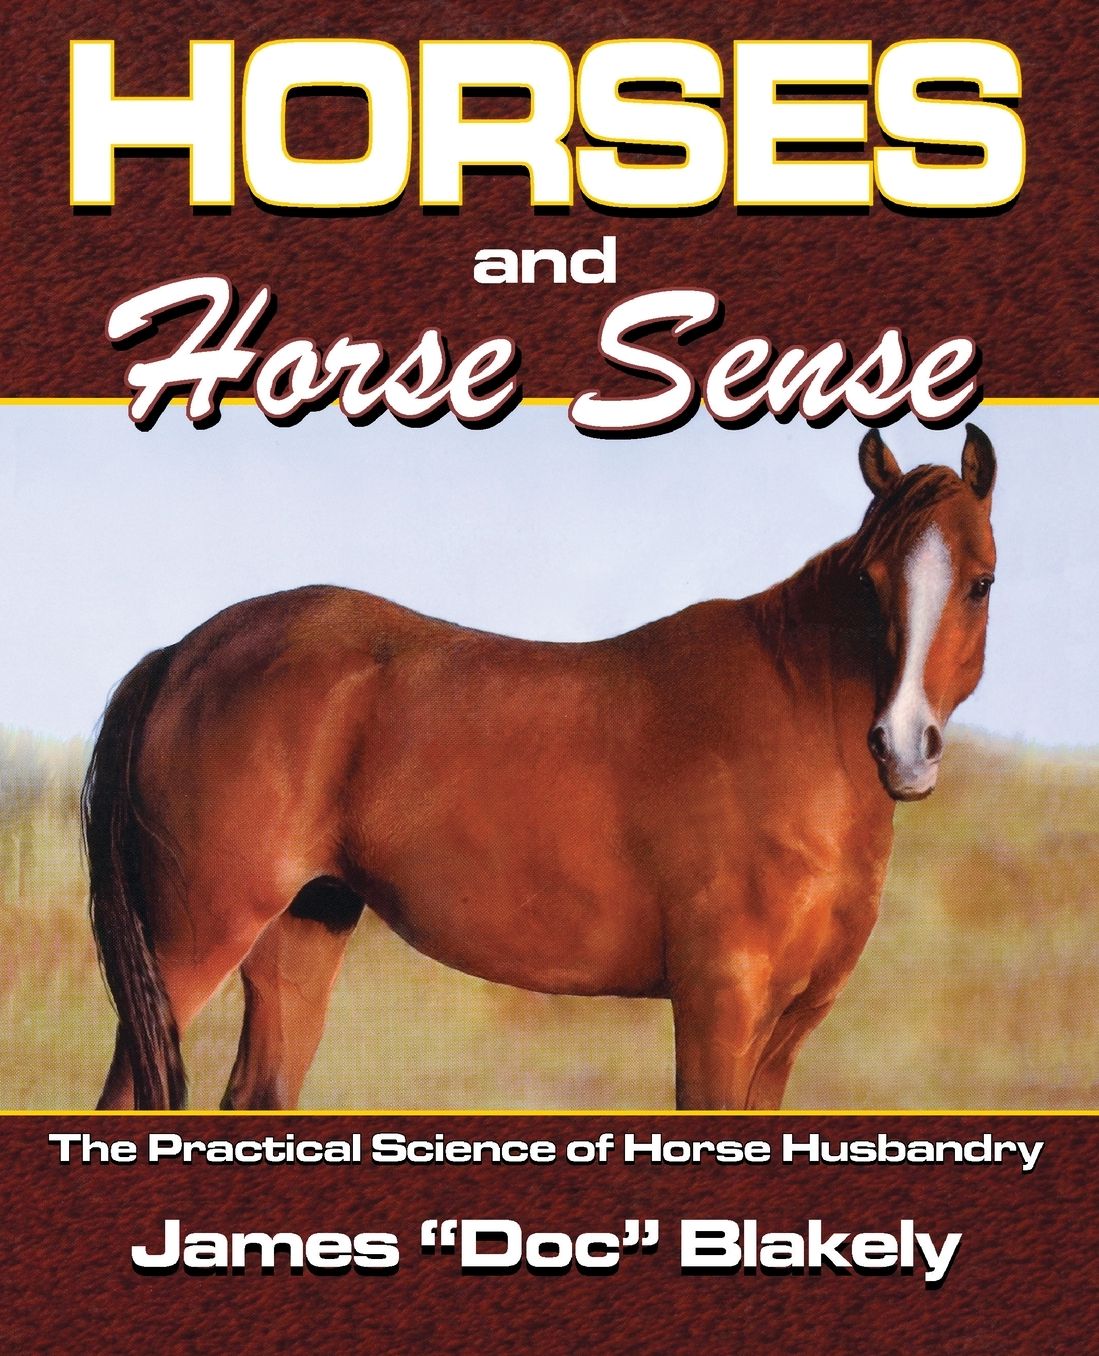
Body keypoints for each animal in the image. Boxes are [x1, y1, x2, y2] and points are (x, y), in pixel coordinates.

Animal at [85, 423, 997, 1111]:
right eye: (869, 582)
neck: (791, 718)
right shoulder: (718, 1003)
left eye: (979, 582)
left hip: (303, 929)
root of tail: (180, 655)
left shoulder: (790, 1025)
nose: (902, 745)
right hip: (191, 944)